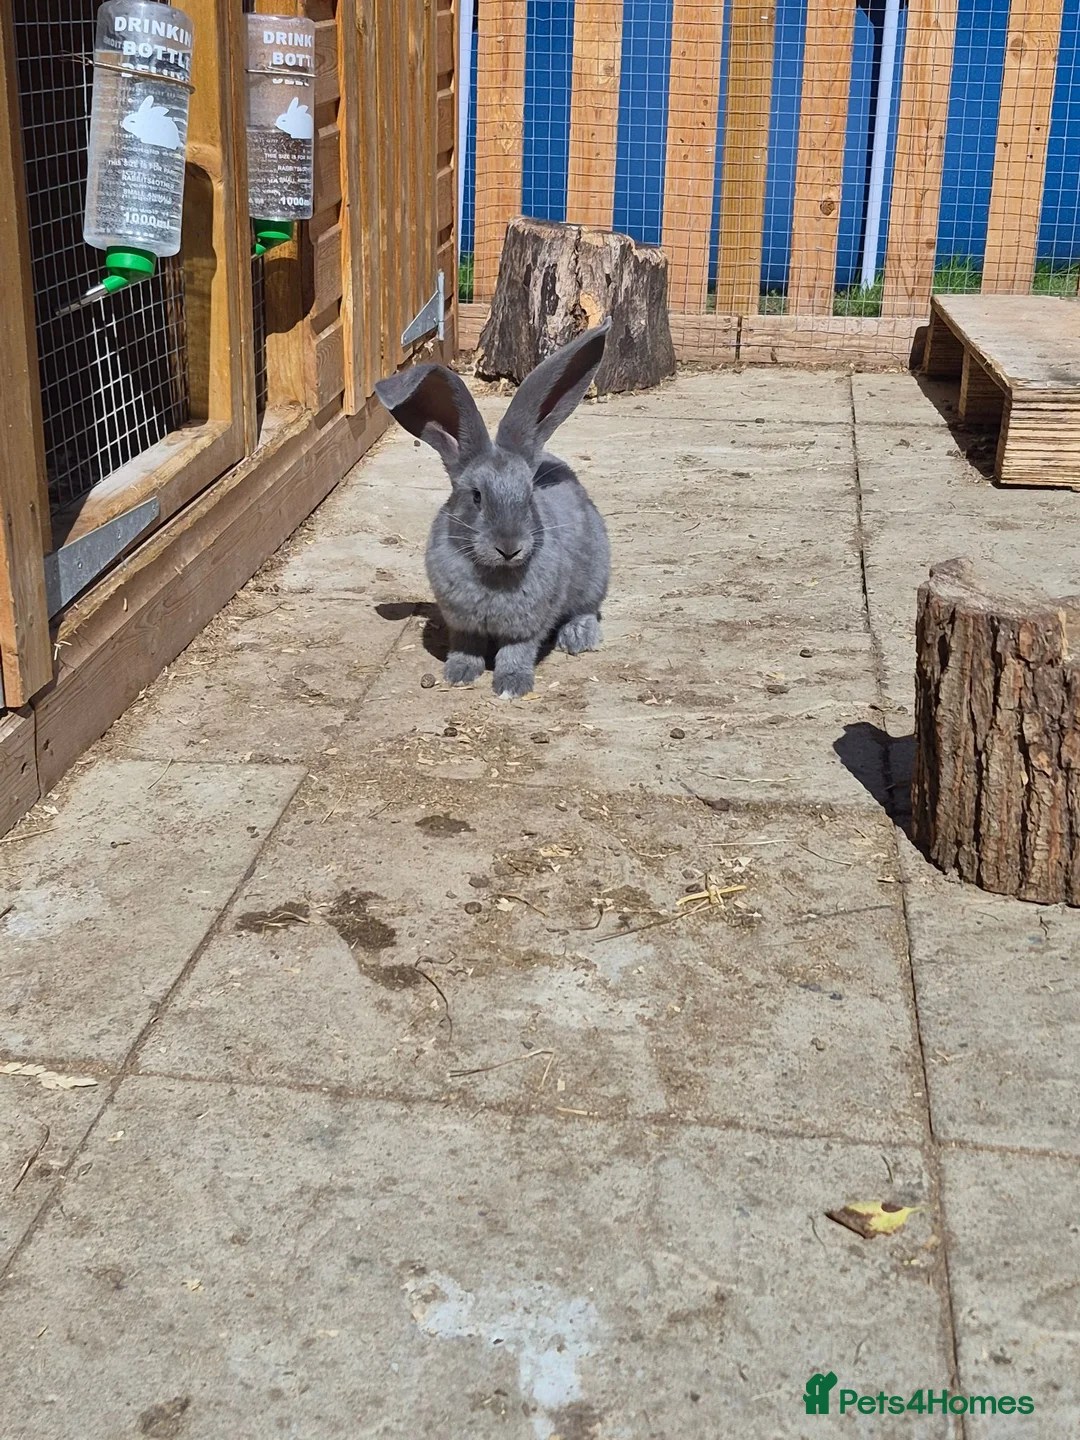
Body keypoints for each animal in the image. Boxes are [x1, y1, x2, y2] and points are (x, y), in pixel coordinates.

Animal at [375, 321, 611, 699]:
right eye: (476, 497)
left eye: (528, 497)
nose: (509, 548)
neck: (494, 574)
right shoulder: (462, 624)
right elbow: (465, 646)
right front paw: (458, 674)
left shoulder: (526, 627)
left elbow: (517, 652)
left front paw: (511, 686)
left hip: (595, 575)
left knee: (587, 609)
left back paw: (578, 638)